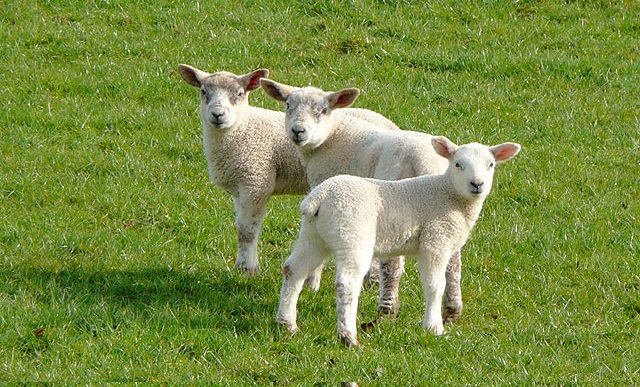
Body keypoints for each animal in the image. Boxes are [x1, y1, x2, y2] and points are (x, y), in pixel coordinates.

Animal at [178, 65, 400, 276]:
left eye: (239, 93)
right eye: (204, 91)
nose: (217, 115)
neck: (242, 129)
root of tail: (392, 125)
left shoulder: (256, 180)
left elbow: (247, 229)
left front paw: (247, 269)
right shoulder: (239, 188)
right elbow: (241, 226)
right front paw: (246, 265)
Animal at [260, 79, 456, 322]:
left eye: (323, 110)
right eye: (288, 105)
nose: (298, 131)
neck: (333, 135)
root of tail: (425, 161)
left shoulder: (322, 187)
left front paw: (312, 282)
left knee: (392, 264)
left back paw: (387, 308)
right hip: (445, 206)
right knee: (453, 261)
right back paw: (452, 310)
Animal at [276, 137, 520, 348]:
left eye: (490, 165)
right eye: (458, 164)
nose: (477, 184)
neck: (448, 194)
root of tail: (320, 196)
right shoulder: (435, 241)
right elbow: (435, 284)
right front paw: (434, 327)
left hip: (314, 234)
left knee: (293, 269)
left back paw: (287, 323)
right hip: (352, 233)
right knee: (347, 283)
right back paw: (348, 336)